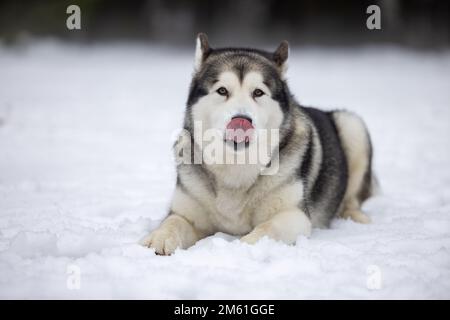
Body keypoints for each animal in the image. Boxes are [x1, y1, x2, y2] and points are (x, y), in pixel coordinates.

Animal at [142, 33, 374, 255]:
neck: (236, 165)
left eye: (258, 92)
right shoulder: (187, 212)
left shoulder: (295, 215)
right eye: (222, 91)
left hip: (352, 125)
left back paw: (356, 217)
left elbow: (268, 227)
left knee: (353, 198)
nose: (241, 120)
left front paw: (245, 244)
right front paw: (159, 237)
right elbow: (174, 221)